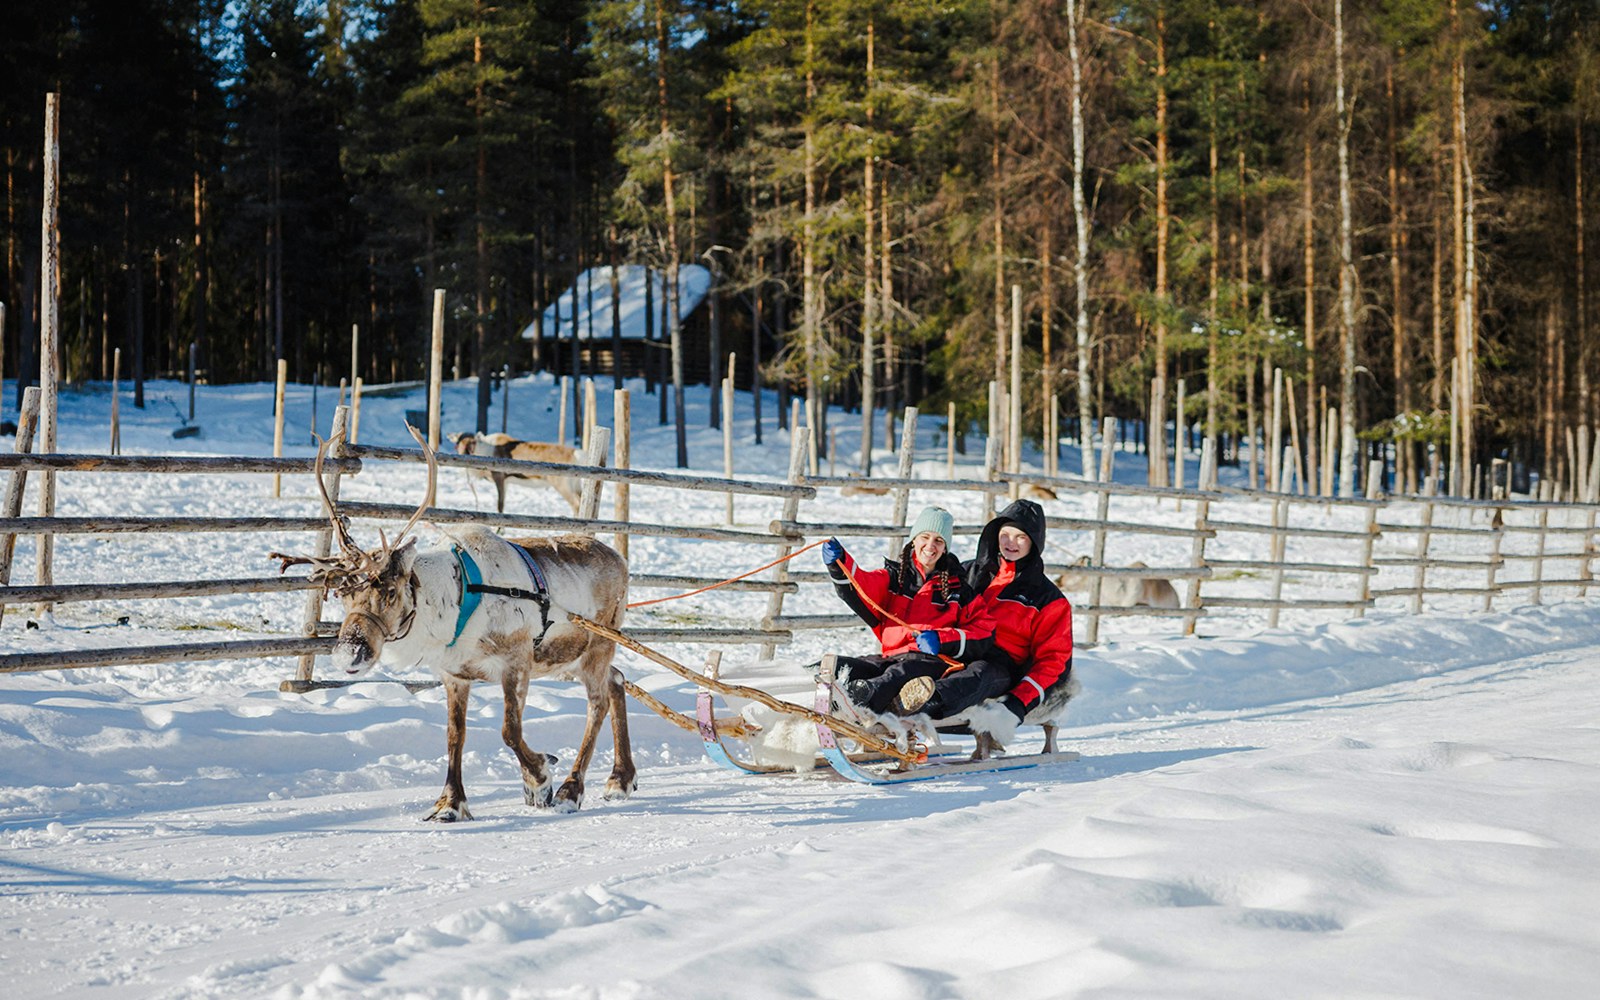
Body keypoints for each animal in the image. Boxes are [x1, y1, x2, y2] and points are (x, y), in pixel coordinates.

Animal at [449, 432, 582, 514]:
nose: (464, 454)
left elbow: (500, 505)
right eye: (457, 444)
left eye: (473, 443)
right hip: (576, 485)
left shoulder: (499, 477)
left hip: (562, 485)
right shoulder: (506, 482)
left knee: (576, 504)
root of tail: (575, 454)